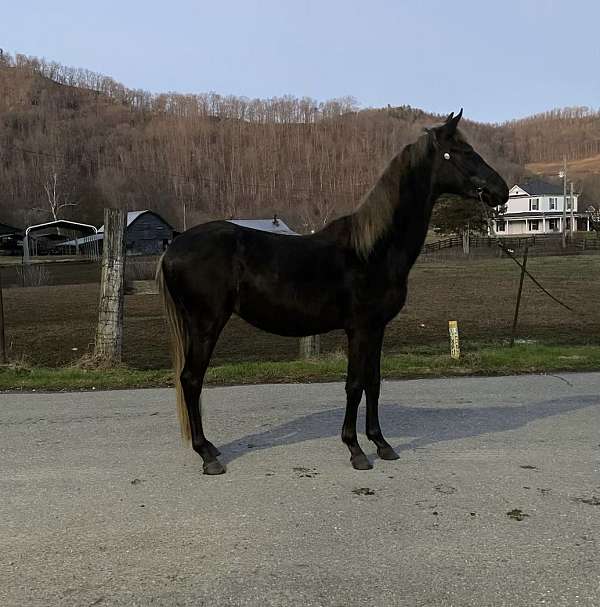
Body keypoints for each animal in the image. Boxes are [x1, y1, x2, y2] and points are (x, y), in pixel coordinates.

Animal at [157, 111, 508, 478]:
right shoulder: (359, 328)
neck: (372, 250)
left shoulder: (377, 328)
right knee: (191, 379)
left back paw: (210, 449)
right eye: (464, 152)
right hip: (206, 324)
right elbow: (354, 384)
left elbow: (373, 382)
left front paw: (381, 444)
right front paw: (355, 450)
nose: (501, 190)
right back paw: (207, 455)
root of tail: (173, 247)